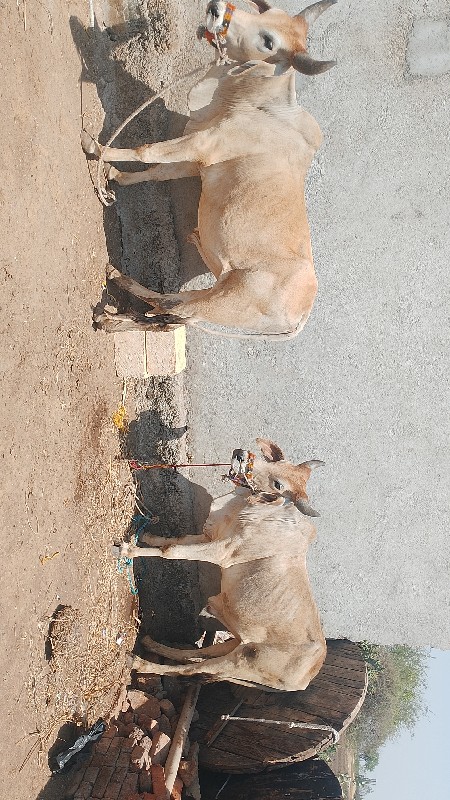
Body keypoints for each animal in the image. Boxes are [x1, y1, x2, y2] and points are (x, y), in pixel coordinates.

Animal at [83, 0, 338, 338]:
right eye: (267, 13)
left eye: (269, 41)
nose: (216, 8)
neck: (257, 105)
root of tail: (301, 316)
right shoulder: (195, 160)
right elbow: (157, 171)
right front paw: (115, 175)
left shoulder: (200, 145)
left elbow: (146, 150)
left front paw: (98, 150)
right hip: (210, 296)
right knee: (169, 313)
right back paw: (115, 302)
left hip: (220, 302)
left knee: (168, 307)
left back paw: (112, 301)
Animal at [120, 440, 326, 692]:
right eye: (278, 462)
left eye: (278, 484)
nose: (240, 454)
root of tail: (307, 678)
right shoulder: (210, 537)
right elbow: (175, 540)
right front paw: (146, 536)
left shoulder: (222, 552)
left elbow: (171, 551)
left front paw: (128, 550)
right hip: (235, 642)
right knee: (199, 654)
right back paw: (151, 645)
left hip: (242, 660)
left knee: (194, 669)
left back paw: (139, 663)